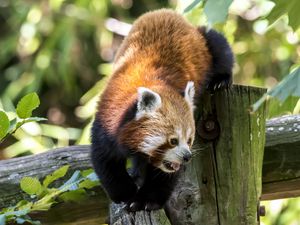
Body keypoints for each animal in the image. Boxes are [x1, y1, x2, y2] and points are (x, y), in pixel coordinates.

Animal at [91, 9, 234, 211]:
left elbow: (164, 176)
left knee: (219, 46)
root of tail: (166, 12)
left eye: (189, 140)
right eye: (173, 141)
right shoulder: (106, 120)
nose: (187, 156)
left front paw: (146, 200)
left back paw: (220, 80)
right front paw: (125, 193)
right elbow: (106, 161)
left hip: (205, 42)